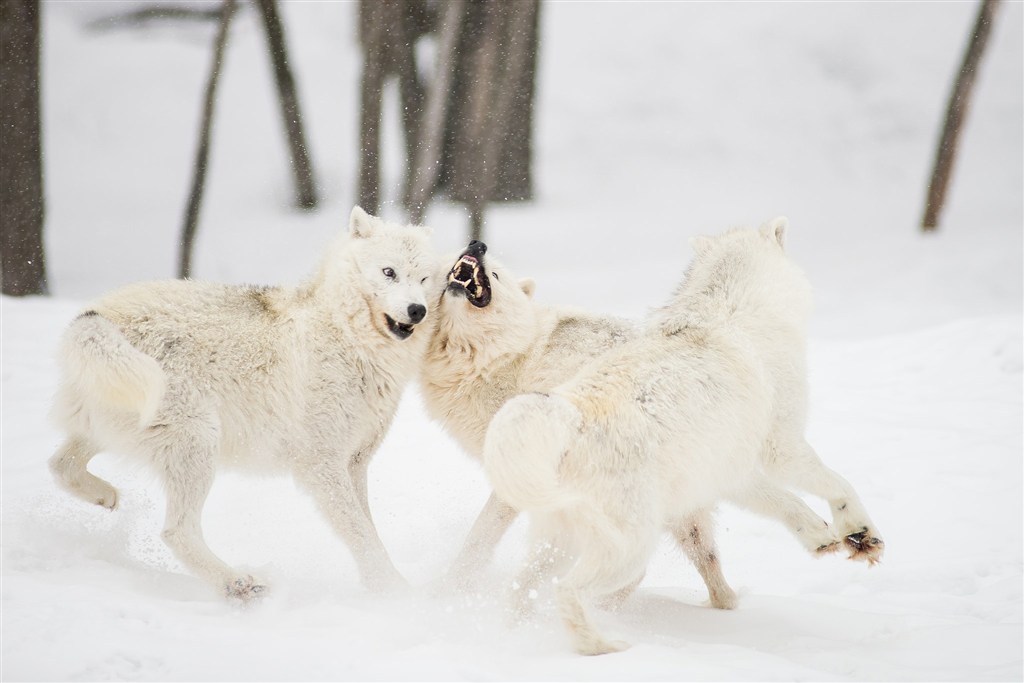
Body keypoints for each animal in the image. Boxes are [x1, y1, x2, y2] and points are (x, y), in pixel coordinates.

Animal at [48, 206, 440, 598]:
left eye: (424, 279)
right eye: (389, 272)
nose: (417, 310)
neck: (347, 336)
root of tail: (95, 319)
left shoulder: (355, 462)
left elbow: (368, 531)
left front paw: (380, 586)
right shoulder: (321, 466)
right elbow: (361, 534)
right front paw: (396, 592)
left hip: (111, 433)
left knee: (59, 466)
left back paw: (105, 496)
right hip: (199, 443)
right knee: (176, 531)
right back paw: (237, 583)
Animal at [419, 239, 741, 610]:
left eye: (496, 275)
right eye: (454, 261)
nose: (477, 244)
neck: (503, 359)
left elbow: (479, 537)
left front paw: (449, 590)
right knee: (704, 563)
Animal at [483, 220, 884, 655]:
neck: (736, 308)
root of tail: (568, 415)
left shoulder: (731, 473)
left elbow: (787, 504)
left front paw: (822, 537)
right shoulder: (783, 449)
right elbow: (839, 484)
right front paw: (861, 533)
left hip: (559, 544)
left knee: (520, 591)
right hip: (629, 549)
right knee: (567, 590)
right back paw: (605, 646)